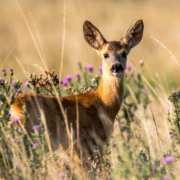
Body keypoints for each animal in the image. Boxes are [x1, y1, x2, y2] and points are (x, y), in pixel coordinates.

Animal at [10, 19, 144, 162]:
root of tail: (12, 108)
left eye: (124, 53)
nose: (116, 67)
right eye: (105, 55)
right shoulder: (87, 145)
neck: (103, 104)